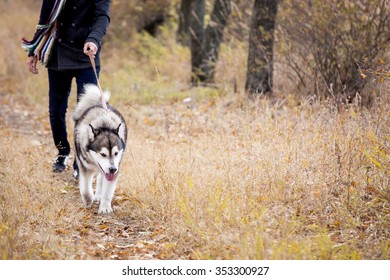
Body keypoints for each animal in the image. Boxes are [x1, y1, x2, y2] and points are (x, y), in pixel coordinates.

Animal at [72, 84, 127, 213]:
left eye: (116, 153)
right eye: (103, 154)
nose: (112, 169)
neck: (104, 125)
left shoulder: (115, 168)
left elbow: (107, 190)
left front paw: (105, 207)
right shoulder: (84, 168)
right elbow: (85, 189)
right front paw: (88, 200)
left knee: (101, 178)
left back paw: (99, 195)